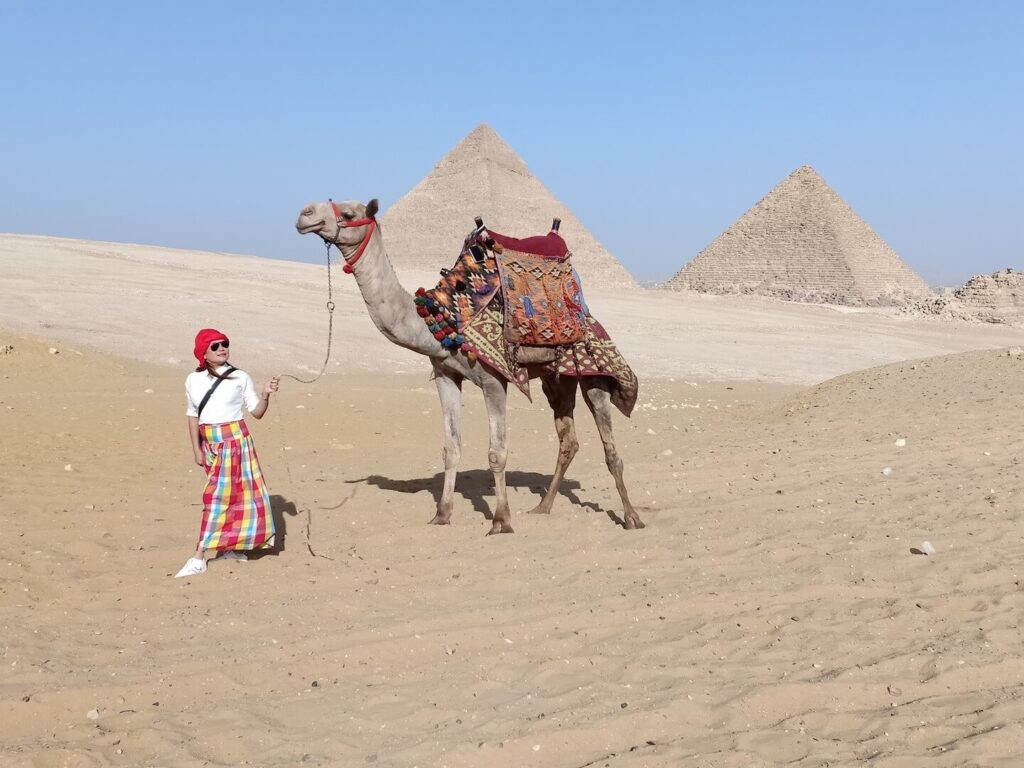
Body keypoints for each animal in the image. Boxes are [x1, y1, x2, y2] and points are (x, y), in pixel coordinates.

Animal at [295, 198, 643, 534]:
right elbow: (451, 449)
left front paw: (501, 521)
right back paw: (542, 506)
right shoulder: (446, 375)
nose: (305, 214)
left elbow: (496, 453)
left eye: (349, 213)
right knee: (568, 439)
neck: (443, 318)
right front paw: (442, 515)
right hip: (556, 378)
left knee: (610, 448)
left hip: (592, 372)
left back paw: (631, 517)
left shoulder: (494, 381)